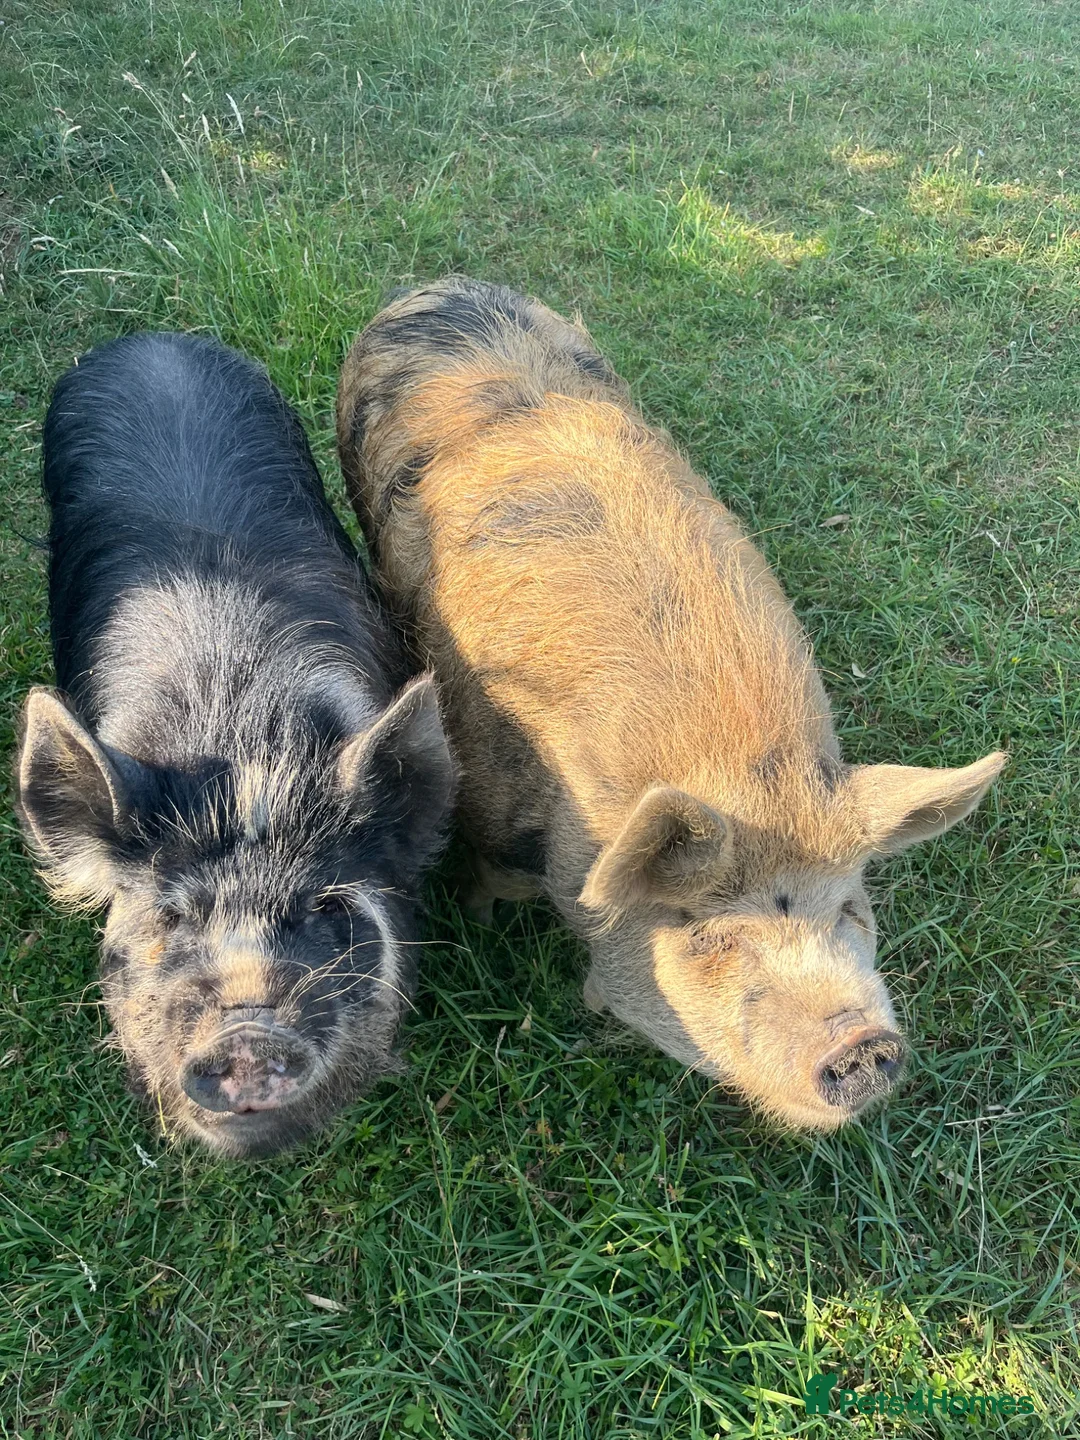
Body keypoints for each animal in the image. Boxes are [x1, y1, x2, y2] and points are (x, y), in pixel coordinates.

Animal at [335, 276, 1005, 1132]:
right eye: (705, 933)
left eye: (849, 909)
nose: (862, 1042)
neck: (739, 771)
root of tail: (441, 283)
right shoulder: (490, 807)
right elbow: (490, 883)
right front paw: (486, 927)